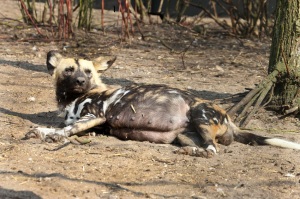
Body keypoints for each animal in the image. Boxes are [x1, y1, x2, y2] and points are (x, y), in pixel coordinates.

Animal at [24, 52, 300, 158]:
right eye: (69, 70)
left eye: (88, 71)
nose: (81, 81)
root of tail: (230, 118)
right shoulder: (92, 123)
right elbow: (67, 127)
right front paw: (45, 131)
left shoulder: (96, 115)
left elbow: (65, 129)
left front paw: (49, 134)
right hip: (185, 134)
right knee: (205, 148)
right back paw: (191, 151)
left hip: (200, 114)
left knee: (213, 151)